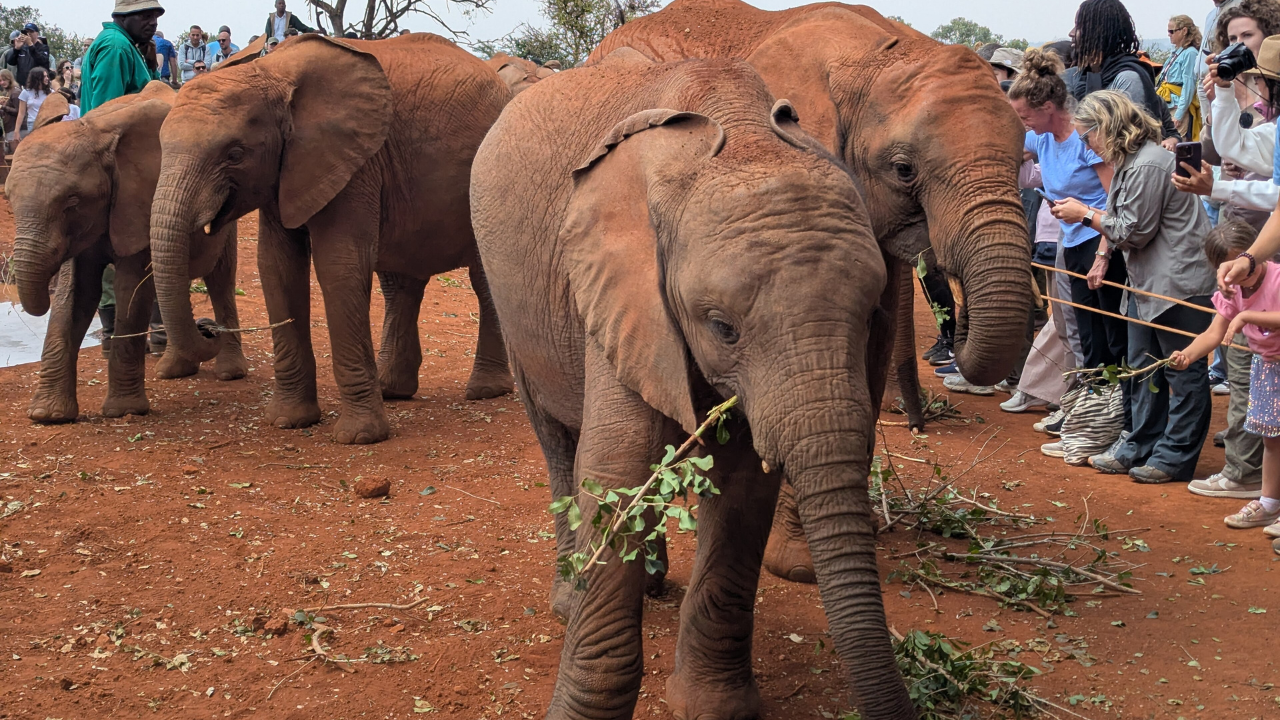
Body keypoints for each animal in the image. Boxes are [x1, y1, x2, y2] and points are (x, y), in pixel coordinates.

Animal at [5, 81, 246, 424]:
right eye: (9, 198)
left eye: (72, 201)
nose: (208, 328)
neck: (95, 132)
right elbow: (74, 295)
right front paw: (47, 415)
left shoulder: (139, 201)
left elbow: (129, 290)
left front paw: (123, 411)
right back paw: (173, 370)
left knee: (220, 278)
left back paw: (230, 372)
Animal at [148, 33, 514, 445]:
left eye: (235, 154)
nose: (207, 328)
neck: (270, 71)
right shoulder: (287, 171)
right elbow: (276, 267)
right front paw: (288, 421)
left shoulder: (355, 162)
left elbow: (338, 264)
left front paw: (360, 437)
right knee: (400, 284)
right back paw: (393, 389)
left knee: (483, 280)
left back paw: (486, 390)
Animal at [471, 49, 915, 720]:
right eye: (722, 327)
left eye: (869, 316)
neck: (743, 136)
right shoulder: (619, 286)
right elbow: (616, 467)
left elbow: (742, 484)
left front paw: (714, 707)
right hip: (511, 298)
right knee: (557, 440)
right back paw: (570, 602)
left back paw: (650, 584)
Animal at [590, 0, 1033, 583]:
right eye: (904, 169)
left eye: (1026, 159)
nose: (952, 345)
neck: (873, 54)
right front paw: (797, 567)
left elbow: (867, 353)